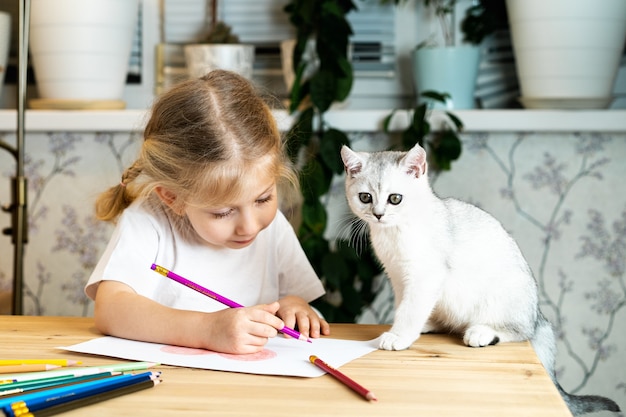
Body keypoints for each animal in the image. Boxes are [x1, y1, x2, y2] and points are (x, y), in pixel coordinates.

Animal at [342, 141, 620, 414]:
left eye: (395, 199)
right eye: (365, 197)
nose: (378, 214)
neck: (397, 231)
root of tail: (538, 315)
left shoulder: (425, 276)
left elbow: (410, 309)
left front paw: (399, 336)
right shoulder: (398, 276)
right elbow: (405, 306)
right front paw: (403, 330)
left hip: (502, 297)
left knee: (521, 332)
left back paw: (482, 333)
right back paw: (432, 324)